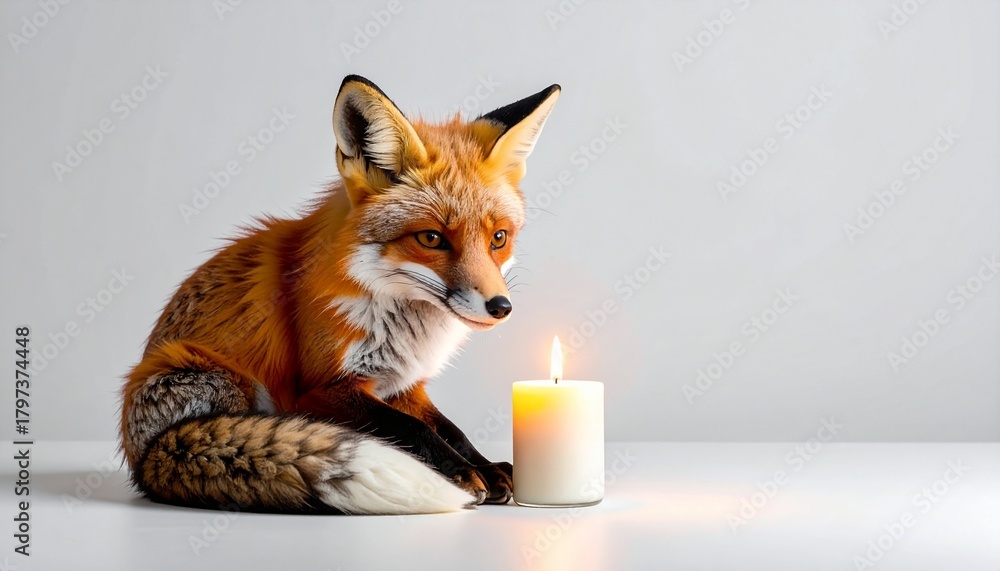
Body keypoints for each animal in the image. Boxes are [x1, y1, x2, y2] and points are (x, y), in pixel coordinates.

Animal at [119, 75, 560, 515]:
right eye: (432, 239)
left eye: (498, 238)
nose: (500, 307)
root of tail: (143, 456)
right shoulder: (322, 387)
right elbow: (412, 428)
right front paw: (461, 473)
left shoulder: (404, 384)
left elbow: (450, 430)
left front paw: (487, 467)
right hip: (222, 382)